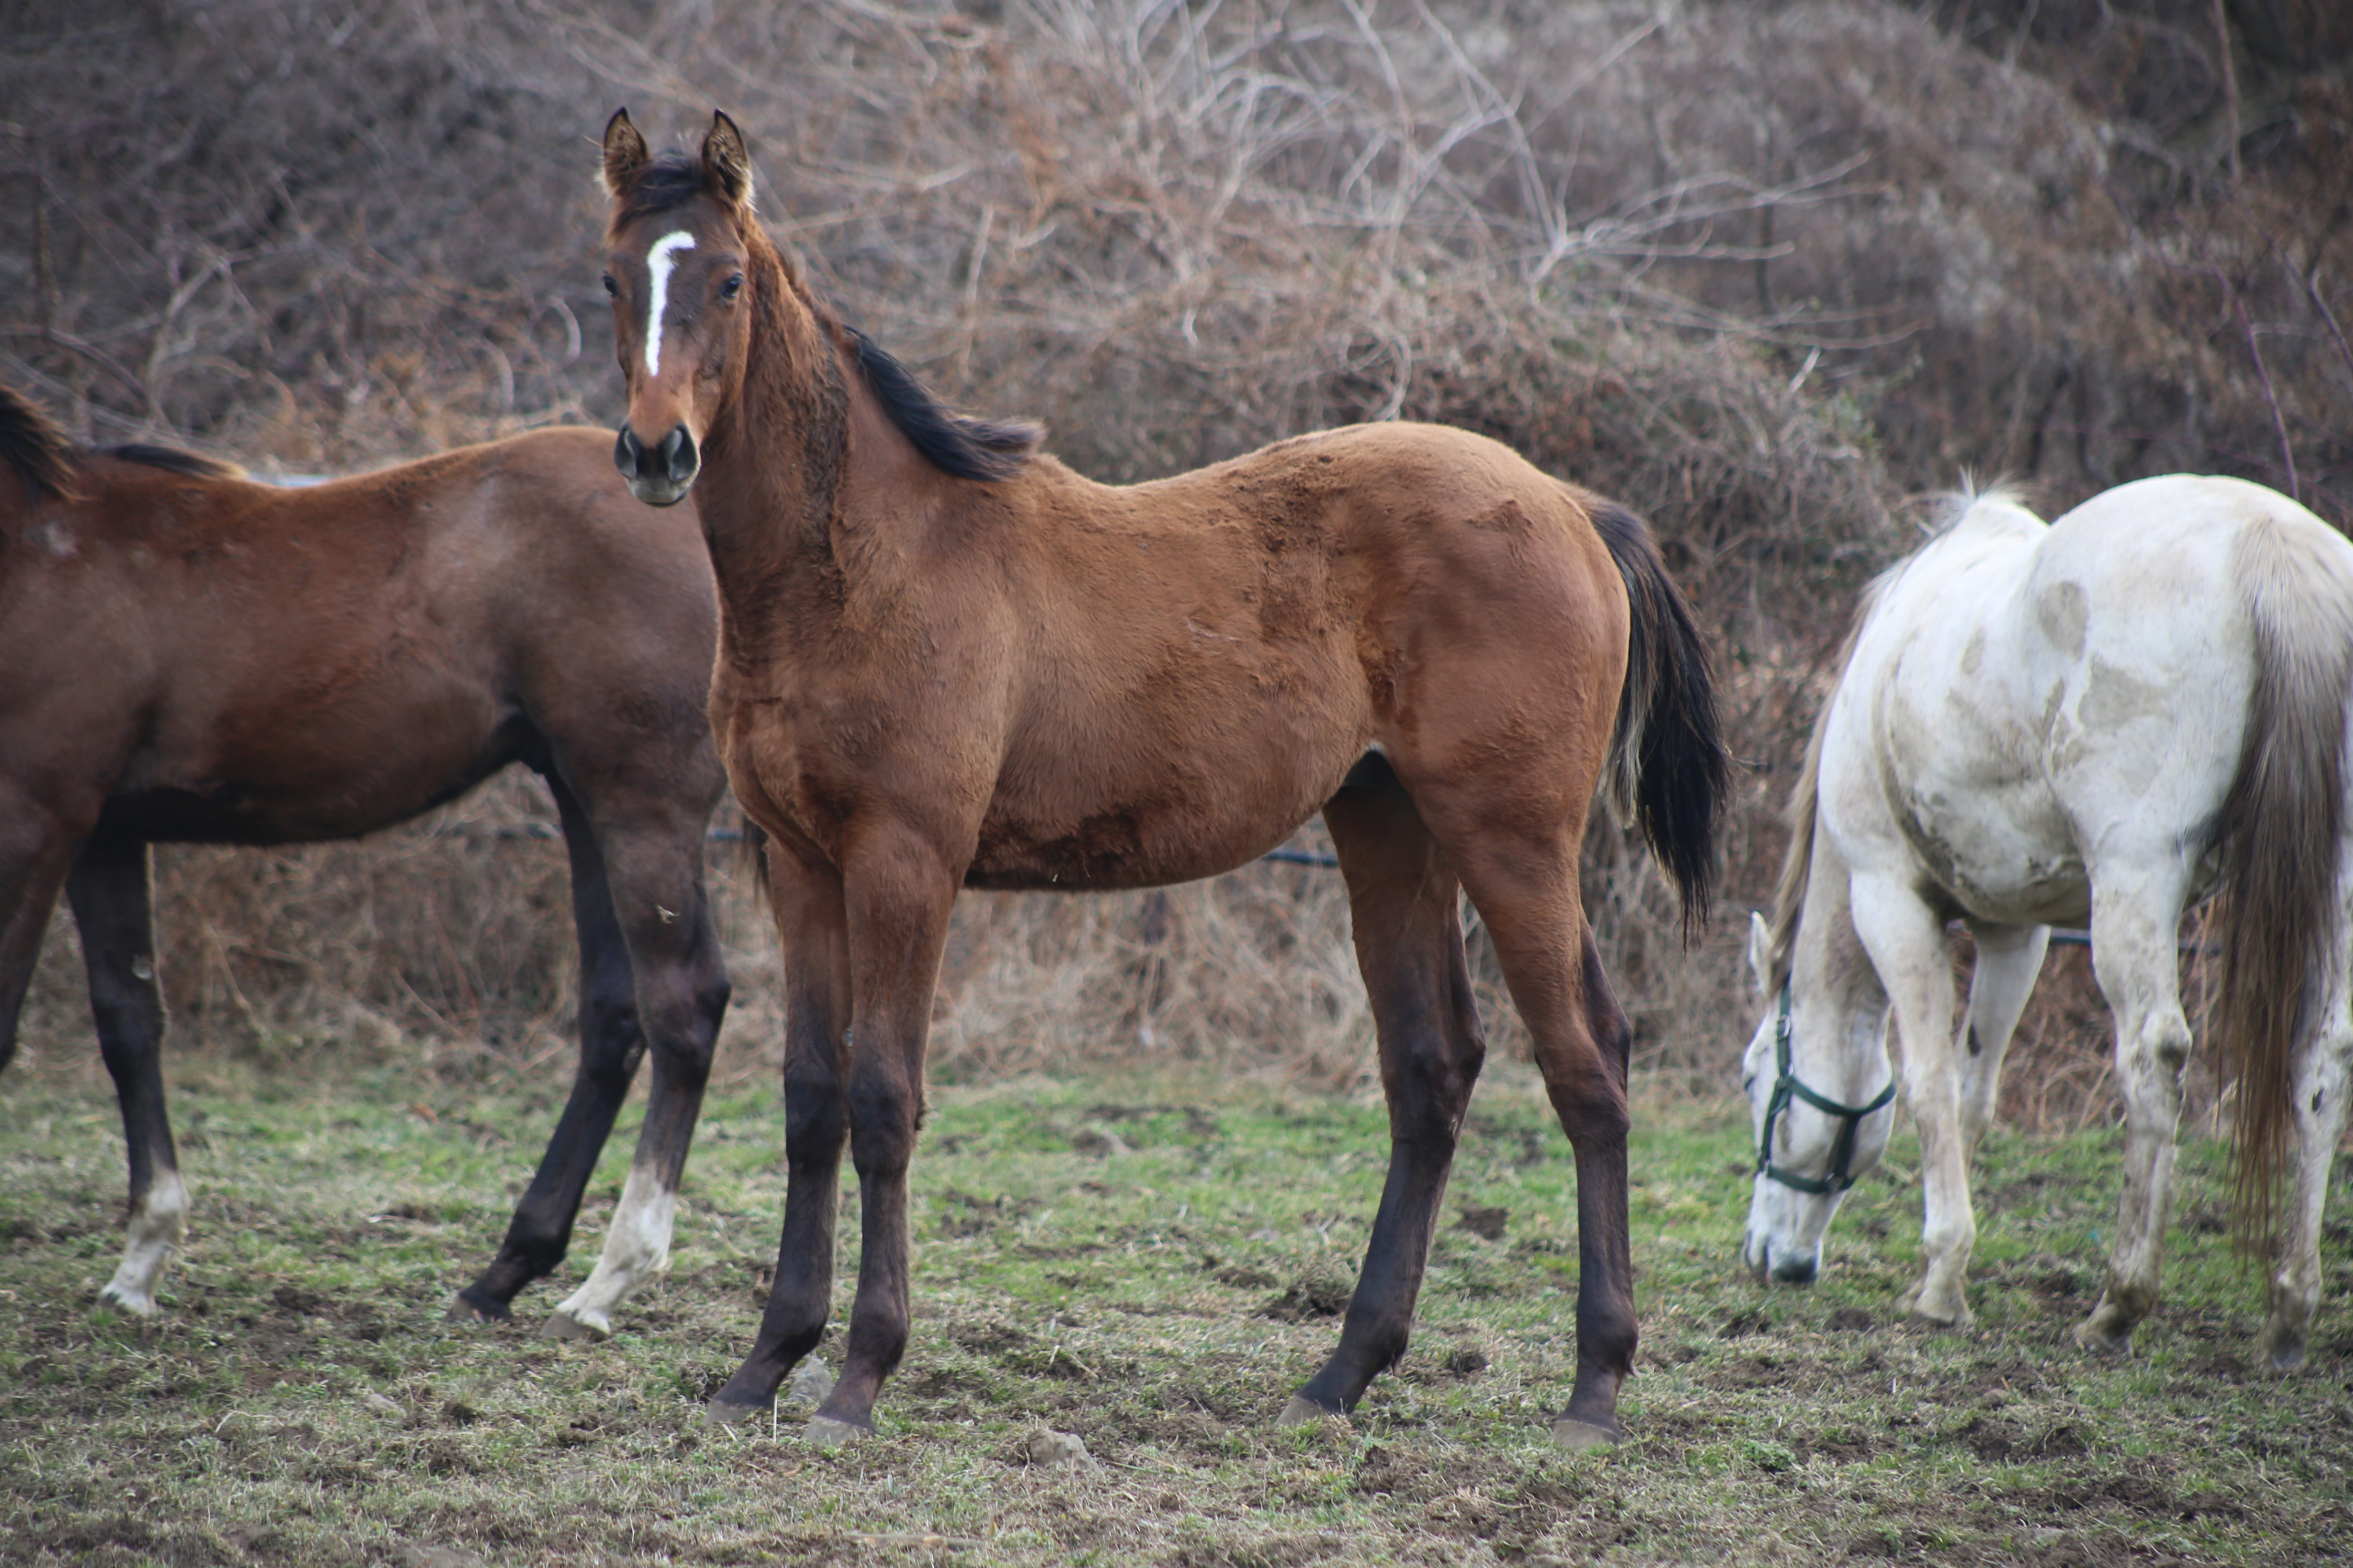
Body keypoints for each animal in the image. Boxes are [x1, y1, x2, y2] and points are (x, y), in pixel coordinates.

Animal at [0, 385, 729, 1344]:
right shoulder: (103, 831)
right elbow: (128, 1021)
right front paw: (140, 1263)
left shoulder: (35, 814)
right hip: (582, 795)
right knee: (615, 1012)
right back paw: (504, 1271)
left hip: (643, 798)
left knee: (682, 1006)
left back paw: (608, 1282)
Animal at [588, 110, 1731, 1457]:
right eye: (613, 279)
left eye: (724, 279)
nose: (655, 451)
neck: (860, 560)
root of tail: (1570, 504)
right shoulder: (799, 861)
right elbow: (813, 1099)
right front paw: (764, 1362)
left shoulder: (906, 860)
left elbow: (883, 1097)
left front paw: (857, 1376)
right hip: (1387, 829)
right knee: (1431, 1070)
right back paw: (1339, 1373)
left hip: (1513, 839)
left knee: (1585, 1065)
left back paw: (1593, 1386)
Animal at [1731, 472, 2353, 1363]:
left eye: (1752, 1079)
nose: (1771, 1260)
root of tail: (2270, 545)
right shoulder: (2013, 929)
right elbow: (1973, 1091)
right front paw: (1938, 1274)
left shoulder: (1888, 899)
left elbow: (1925, 1085)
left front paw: (1939, 1286)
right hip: (2331, 877)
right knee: (2321, 1063)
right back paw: (2288, 1310)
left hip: (2134, 879)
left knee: (2153, 1056)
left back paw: (2118, 1303)